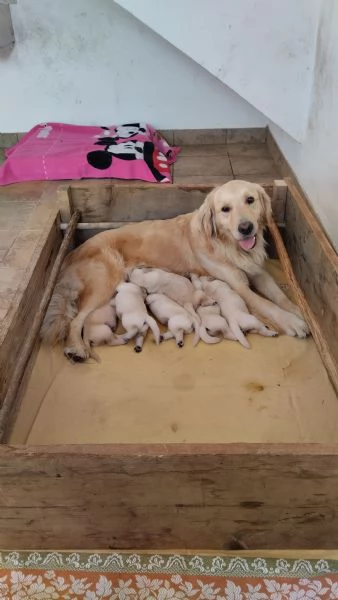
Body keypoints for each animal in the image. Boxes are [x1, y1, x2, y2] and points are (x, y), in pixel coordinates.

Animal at [41, 178, 308, 360]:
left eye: (250, 200)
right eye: (225, 209)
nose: (246, 228)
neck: (228, 245)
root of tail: (74, 252)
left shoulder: (258, 272)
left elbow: (279, 296)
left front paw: (298, 310)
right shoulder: (239, 286)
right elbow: (267, 305)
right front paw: (292, 322)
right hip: (105, 282)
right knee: (75, 320)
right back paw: (76, 348)